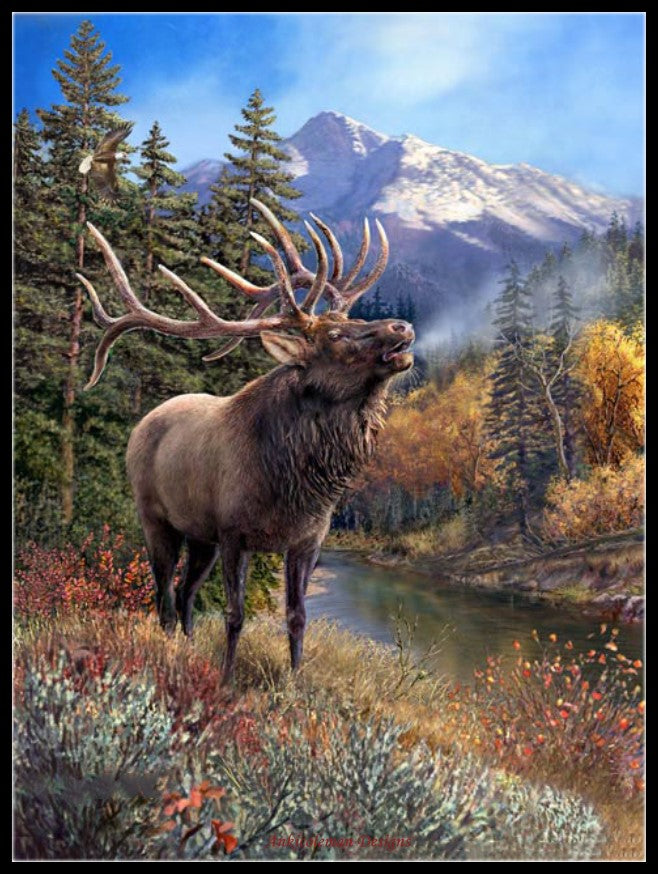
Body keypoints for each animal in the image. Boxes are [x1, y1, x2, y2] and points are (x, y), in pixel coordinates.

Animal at [77, 198, 414, 685]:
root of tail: (143, 423)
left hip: (202, 538)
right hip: (156, 519)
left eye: (353, 318)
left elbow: (297, 616)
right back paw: (172, 651)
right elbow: (235, 615)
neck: (297, 486)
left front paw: (293, 682)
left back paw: (189, 646)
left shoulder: (306, 541)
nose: (401, 327)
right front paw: (226, 679)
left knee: (185, 594)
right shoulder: (235, 532)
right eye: (334, 336)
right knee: (163, 595)